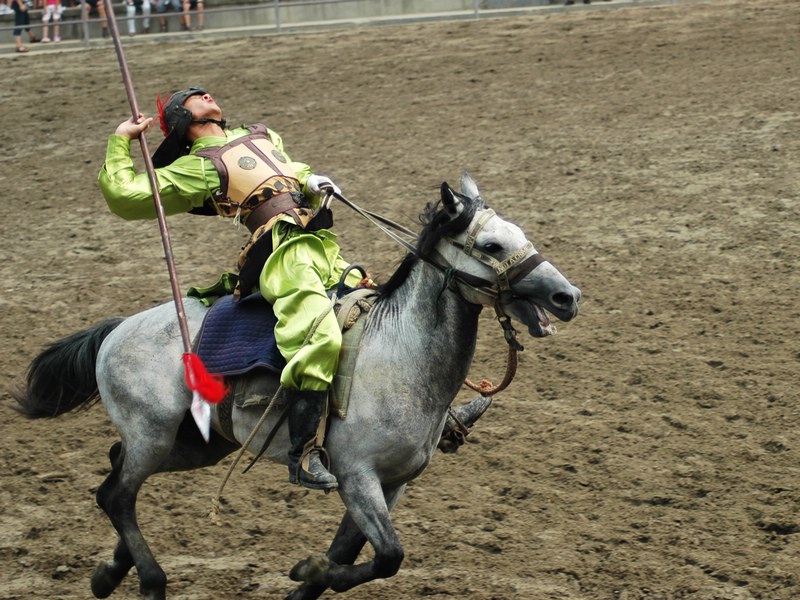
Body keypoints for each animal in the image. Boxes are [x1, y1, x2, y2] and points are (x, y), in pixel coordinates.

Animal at [15, 175, 580, 600]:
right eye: (490, 245)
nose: (567, 296)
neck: (399, 356)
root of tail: (117, 329)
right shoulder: (356, 477)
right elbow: (387, 556)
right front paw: (304, 570)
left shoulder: (393, 484)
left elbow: (353, 555)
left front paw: (306, 580)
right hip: (153, 434)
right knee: (118, 495)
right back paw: (151, 581)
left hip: (195, 443)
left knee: (114, 479)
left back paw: (110, 573)